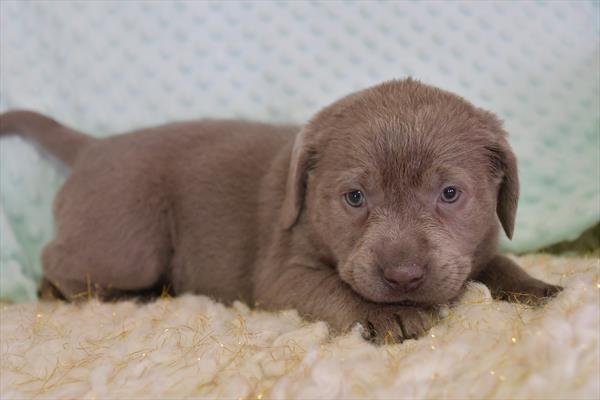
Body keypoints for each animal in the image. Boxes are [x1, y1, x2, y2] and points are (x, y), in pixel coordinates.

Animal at [1, 79, 564, 344]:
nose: (403, 277)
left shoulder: (472, 248)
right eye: (354, 198)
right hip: (126, 244)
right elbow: (338, 288)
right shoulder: (282, 273)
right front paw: (393, 314)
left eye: (450, 193)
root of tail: (94, 146)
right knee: (59, 261)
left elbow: (498, 262)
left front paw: (540, 289)